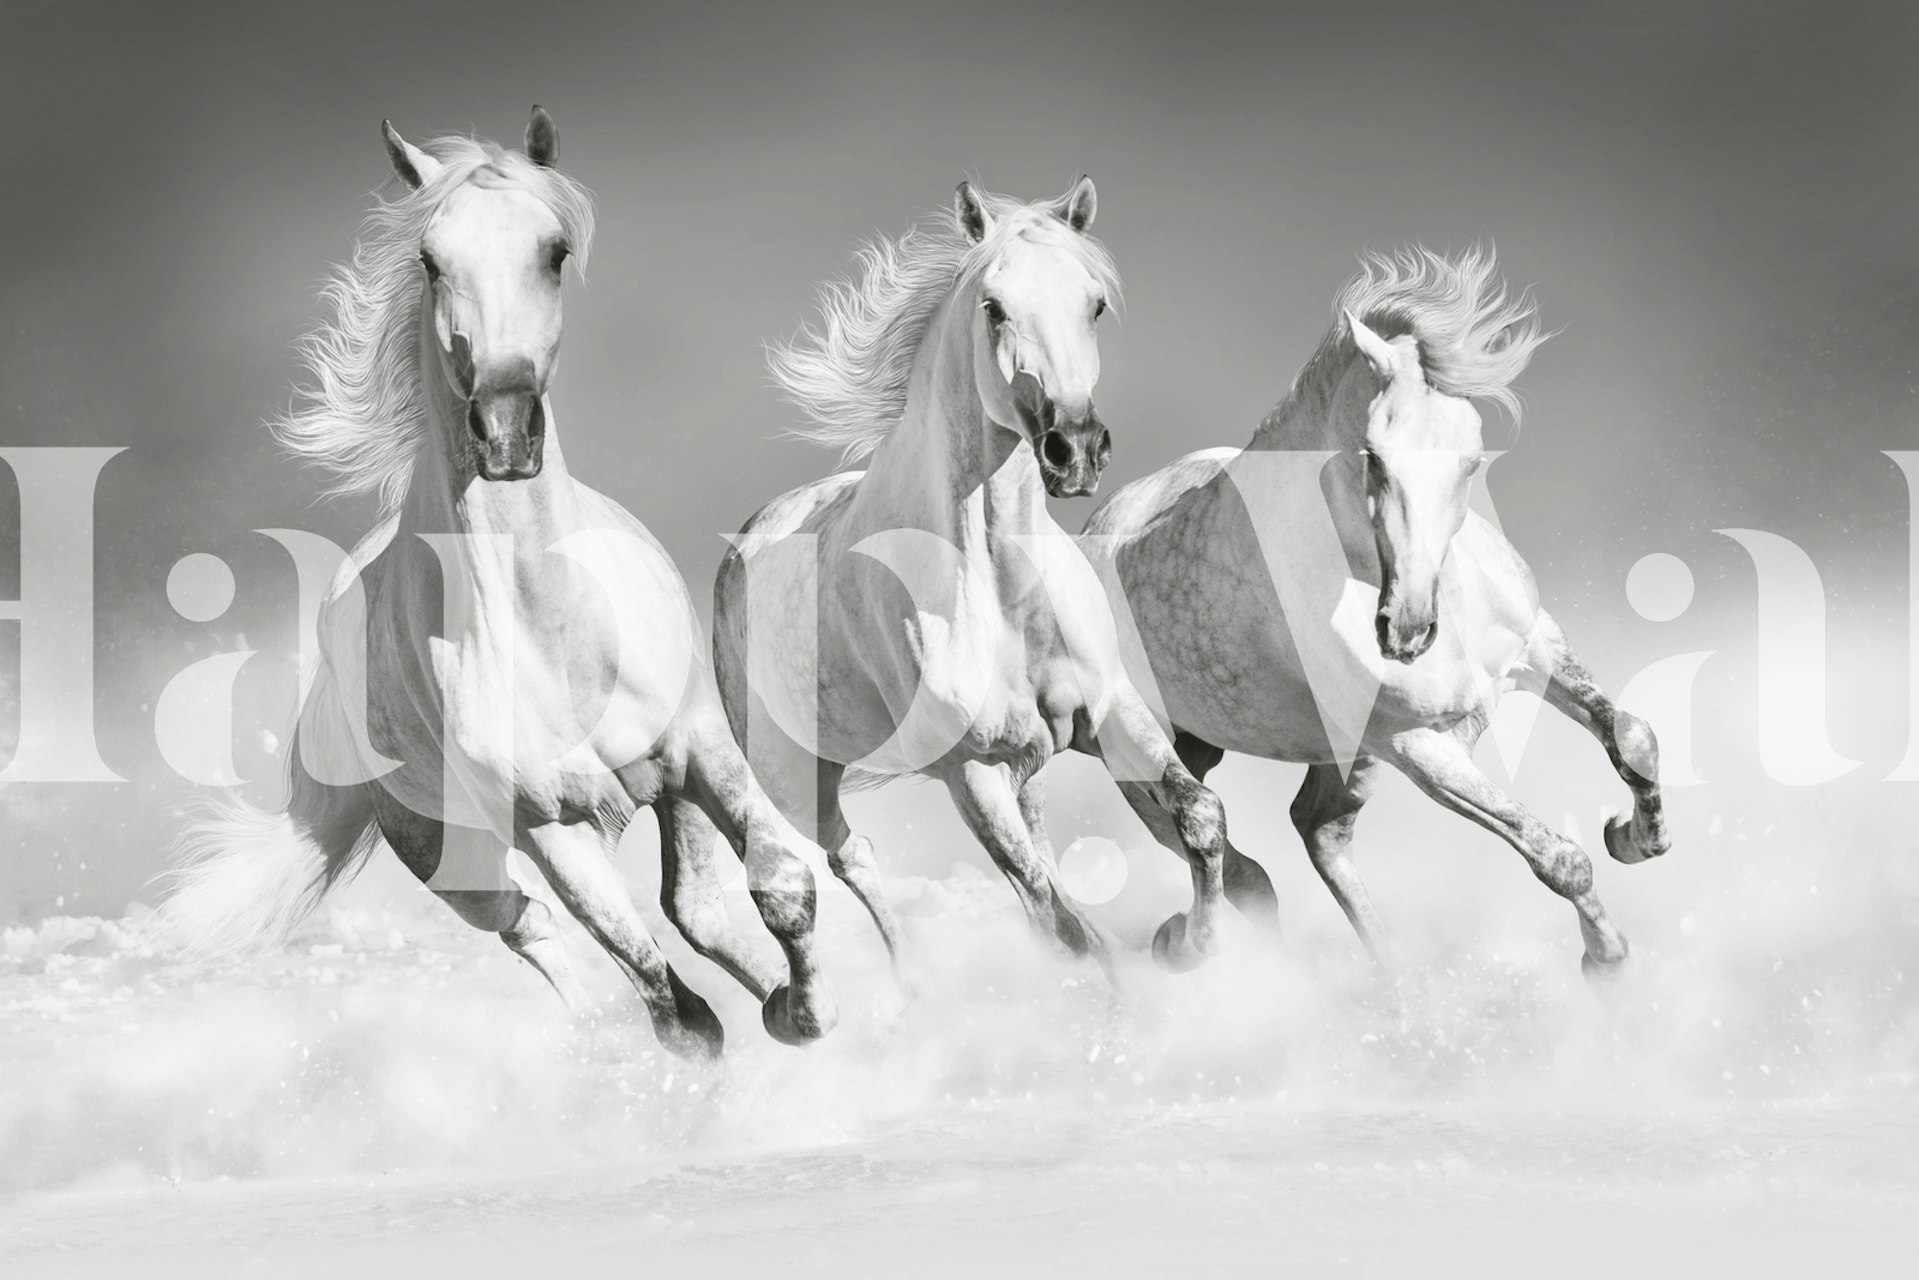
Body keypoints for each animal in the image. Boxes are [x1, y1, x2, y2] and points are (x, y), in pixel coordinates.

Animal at [159, 109, 839, 1058]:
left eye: (554, 250)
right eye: (429, 259)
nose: (506, 430)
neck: (551, 628)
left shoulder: (700, 753)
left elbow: (779, 886)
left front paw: (806, 1012)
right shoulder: (551, 824)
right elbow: (668, 1003)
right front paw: (763, 1025)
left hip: (670, 792)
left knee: (694, 908)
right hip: (450, 856)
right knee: (536, 929)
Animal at [712, 179, 1278, 979]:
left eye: (1093, 304)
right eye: (993, 306)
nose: (1075, 449)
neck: (1002, 588)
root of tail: (750, 537)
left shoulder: (1114, 714)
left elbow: (1199, 817)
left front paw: (1189, 944)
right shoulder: (971, 772)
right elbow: (1056, 922)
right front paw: (1162, 958)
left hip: (1024, 762)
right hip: (797, 778)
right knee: (853, 859)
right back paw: (911, 986)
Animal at [1079, 246, 1670, 974]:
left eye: (1471, 461)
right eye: (1374, 458)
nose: (1407, 630)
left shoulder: (1536, 648)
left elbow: (1633, 738)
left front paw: (1633, 838)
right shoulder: (1415, 744)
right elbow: (1556, 856)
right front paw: (1607, 959)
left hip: (1291, 751)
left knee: (1315, 830)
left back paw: (1393, 977)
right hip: (1140, 749)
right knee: (1215, 839)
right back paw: (1192, 943)